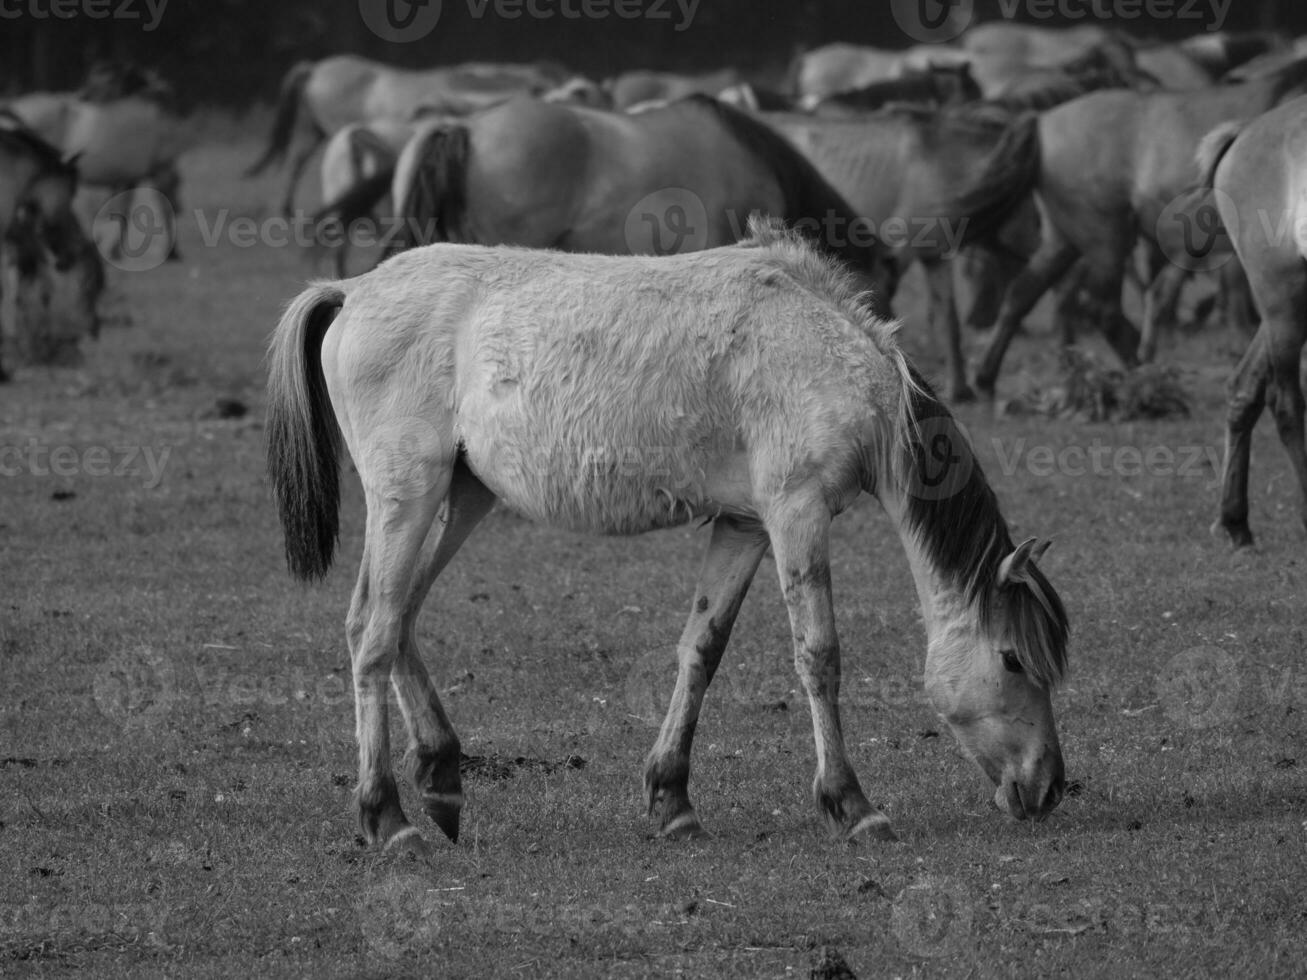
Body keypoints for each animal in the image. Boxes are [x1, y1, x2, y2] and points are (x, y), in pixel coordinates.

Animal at [267, 218, 1071, 857]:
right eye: (1011, 660)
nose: (1049, 788)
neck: (832, 356)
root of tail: (352, 289)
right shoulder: (796, 513)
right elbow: (819, 657)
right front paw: (853, 806)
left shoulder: (745, 526)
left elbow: (701, 651)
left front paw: (673, 800)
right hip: (407, 497)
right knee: (372, 632)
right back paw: (388, 818)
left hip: (460, 497)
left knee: (395, 616)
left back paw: (440, 777)